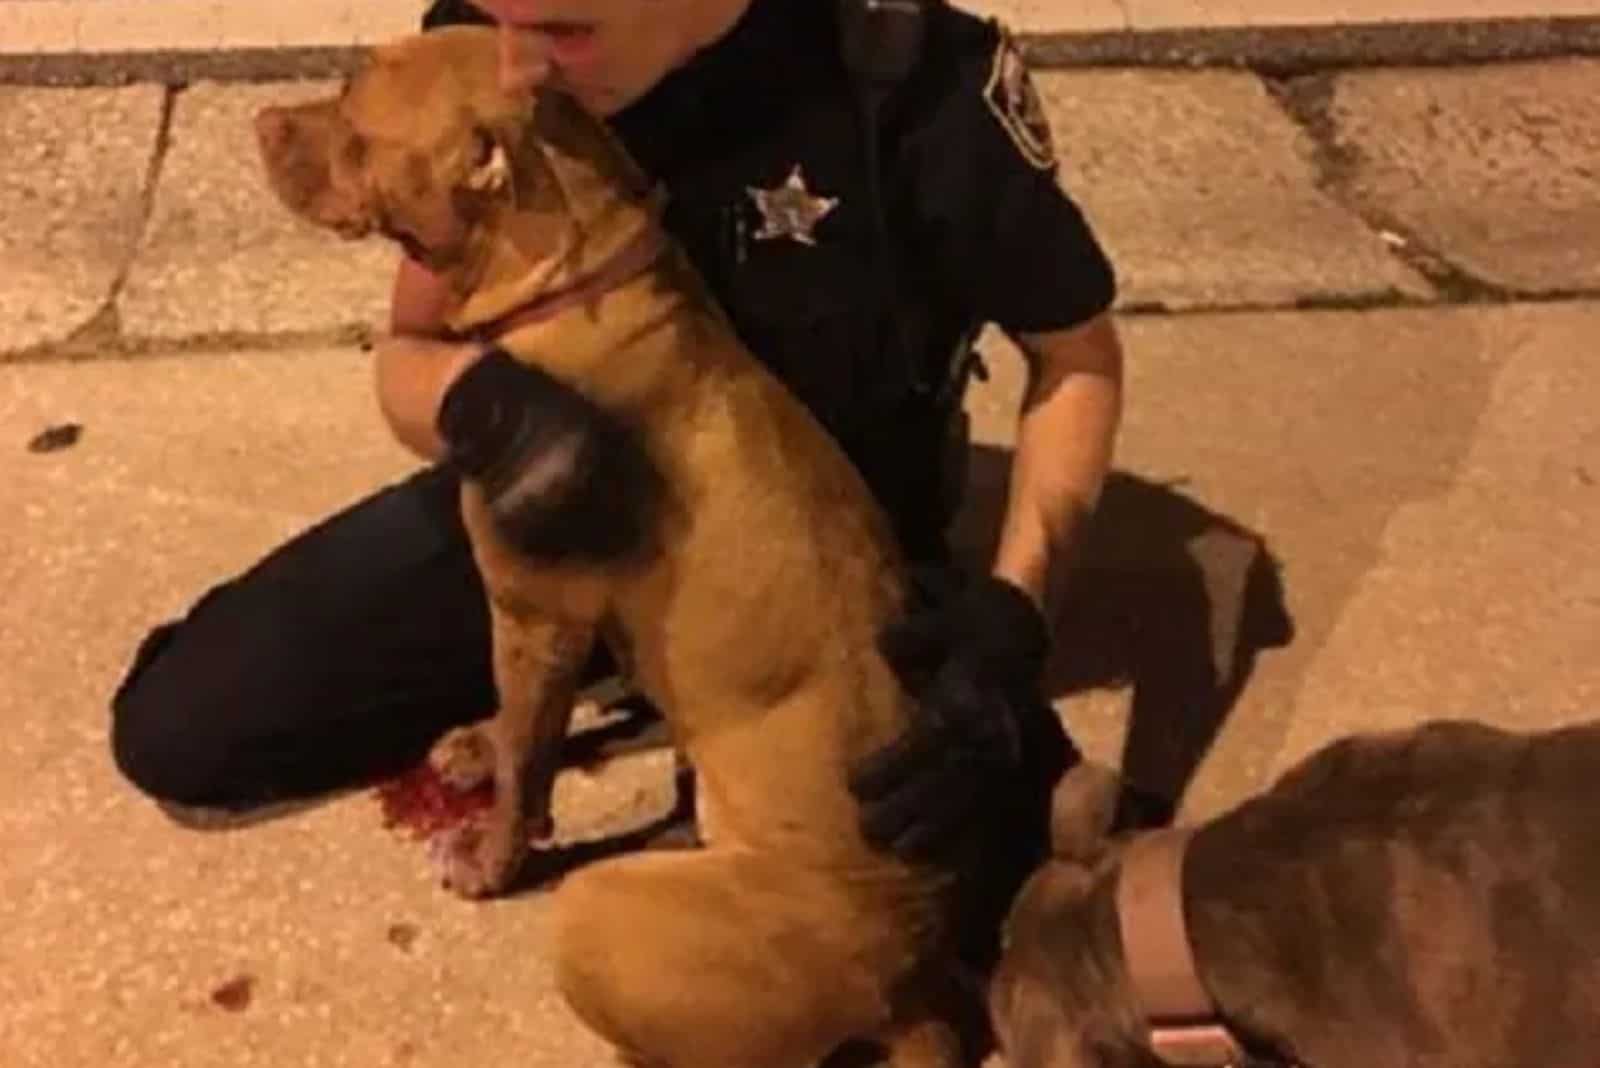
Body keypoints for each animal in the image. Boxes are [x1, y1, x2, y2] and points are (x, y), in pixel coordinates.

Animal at [252, 22, 1049, 1068]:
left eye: (353, 104)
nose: (260, 120)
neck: (570, 277)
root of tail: (910, 976)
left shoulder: (534, 612)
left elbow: (529, 762)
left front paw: (494, 852)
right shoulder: (556, 619)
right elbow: (526, 725)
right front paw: (482, 743)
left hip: (601, 912)